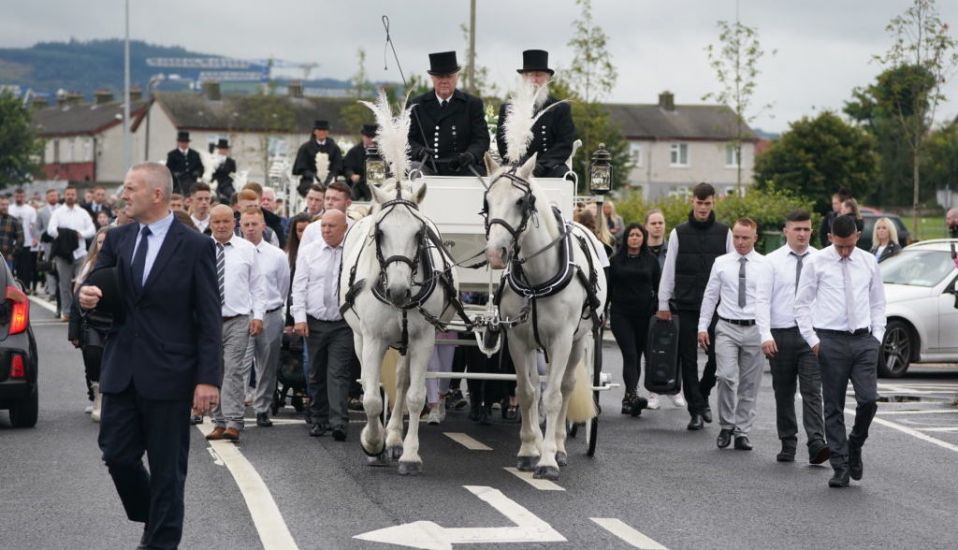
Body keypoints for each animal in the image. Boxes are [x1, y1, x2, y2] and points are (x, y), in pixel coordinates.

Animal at [340, 92, 464, 476]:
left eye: (419, 232)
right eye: (379, 232)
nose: (397, 291)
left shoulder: (424, 338)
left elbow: (414, 395)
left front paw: (407, 452)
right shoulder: (373, 338)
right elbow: (369, 396)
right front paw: (372, 442)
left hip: (408, 340)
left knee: (402, 381)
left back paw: (395, 438)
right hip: (361, 336)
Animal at [480, 76, 608, 478]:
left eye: (522, 202)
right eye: (487, 202)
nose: (495, 253)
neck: (538, 278)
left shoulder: (562, 338)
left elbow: (551, 396)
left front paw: (548, 458)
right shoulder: (518, 338)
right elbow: (527, 392)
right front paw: (528, 449)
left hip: (581, 340)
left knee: (566, 387)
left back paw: (561, 447)